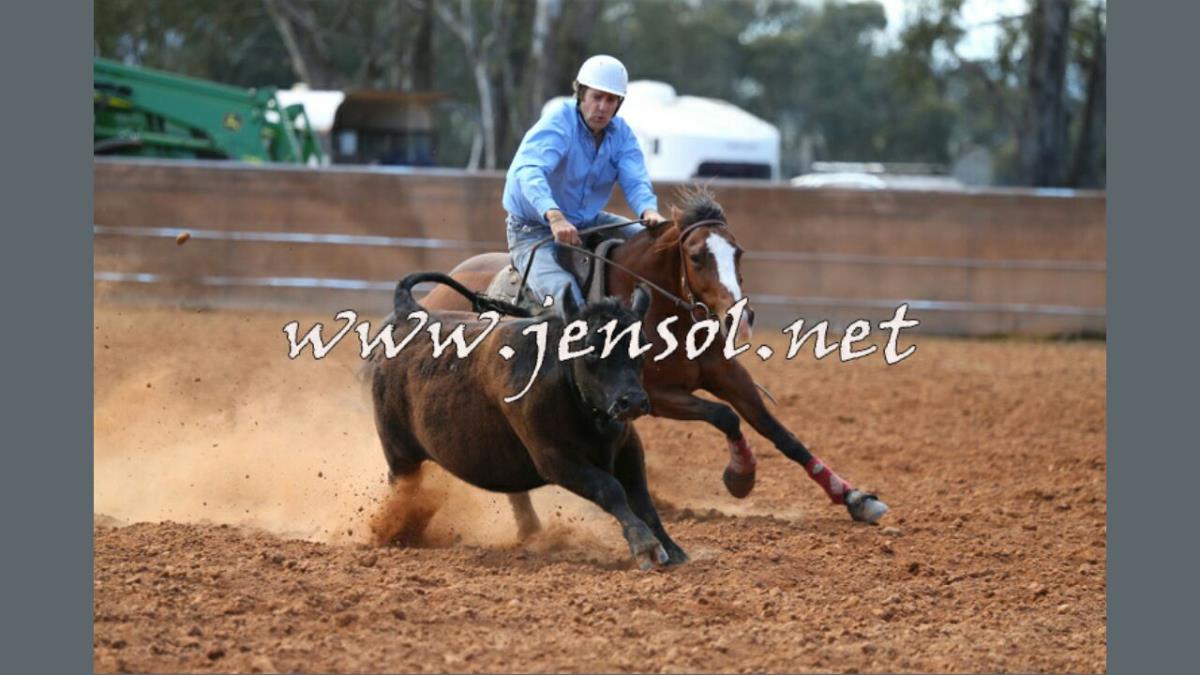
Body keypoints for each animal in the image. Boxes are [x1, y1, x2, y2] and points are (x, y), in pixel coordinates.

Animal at [367, 271, 688, 568]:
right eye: (591, 348)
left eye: (641, 346)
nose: (632, 401)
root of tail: (409, 313)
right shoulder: (554, 458)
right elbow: (610, 489)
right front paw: (645, 545)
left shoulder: (628, 446)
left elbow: (642, 499)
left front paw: (671, 548)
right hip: (400, 453)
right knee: (404, 489)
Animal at [421, 186, 889, 527]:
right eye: (696, 257)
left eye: (738, 253)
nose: (739, 315)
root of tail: (436, 294)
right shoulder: (654, 396)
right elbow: (724, 417)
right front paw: (741, 476)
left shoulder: (726, 374)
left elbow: (780, 433)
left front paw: (854, 497)